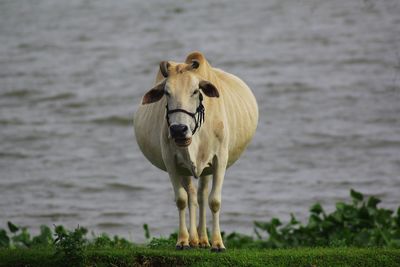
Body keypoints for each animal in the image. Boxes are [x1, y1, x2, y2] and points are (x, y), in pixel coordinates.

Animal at [134, 51, 260, 252]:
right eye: (166, 92)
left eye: (195, 91)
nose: (178, 130)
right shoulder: (171, 162)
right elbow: (181, 199)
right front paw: (182, 240)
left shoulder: (220, 160)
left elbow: (214, 200)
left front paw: (217, 243)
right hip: (184, 169)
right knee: (192, 195)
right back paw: (193, 239)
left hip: (206, 169)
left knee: (201, 195)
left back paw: (203, 239)